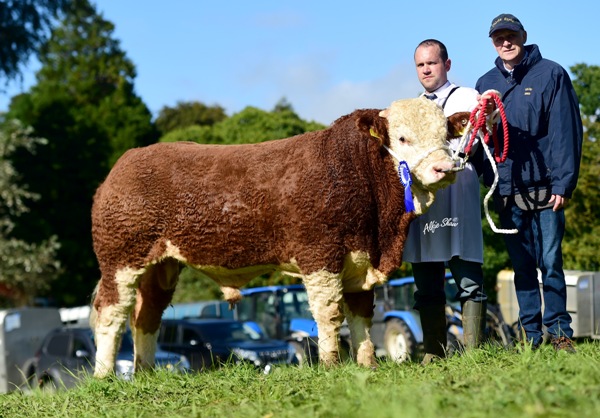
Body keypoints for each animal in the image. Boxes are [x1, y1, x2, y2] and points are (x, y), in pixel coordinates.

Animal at [89, 96, 466, 378]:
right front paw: (331, 365)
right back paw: (105, 376)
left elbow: (361, 314)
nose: (444, 169)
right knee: (111, 313)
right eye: (402, 139)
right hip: (120, 260)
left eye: (446, 136)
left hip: (161, 266)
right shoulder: (319, 254)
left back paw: (146, 372)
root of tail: (126, 162)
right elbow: (329, 313)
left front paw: (367, 364)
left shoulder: (360, 260)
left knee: (146, 315)